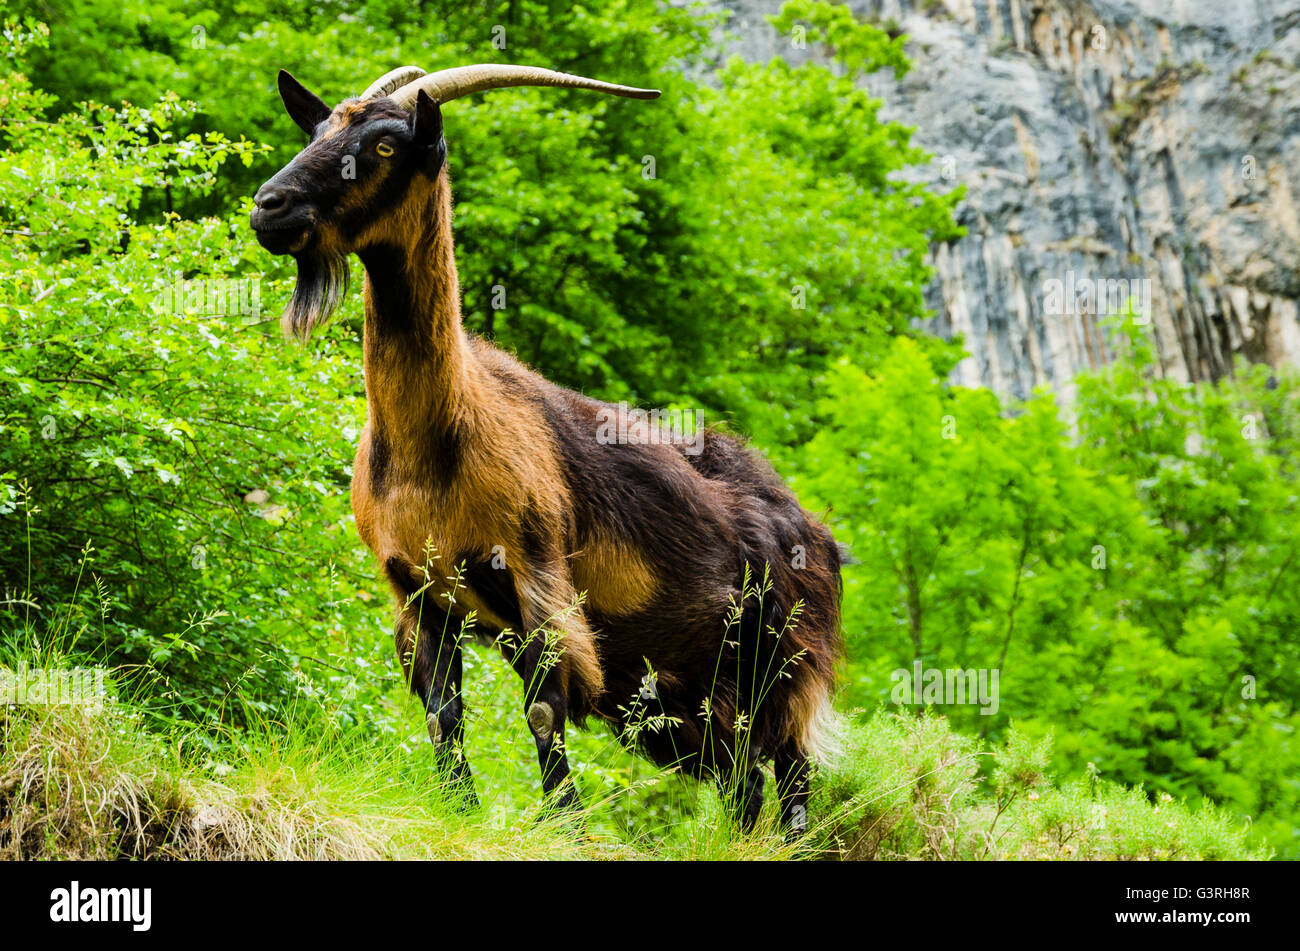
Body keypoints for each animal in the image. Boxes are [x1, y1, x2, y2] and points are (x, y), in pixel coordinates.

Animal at [252, 64, 842, 831]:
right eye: (318, 131)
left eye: (383, 146)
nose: (269, 207)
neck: (432, 447)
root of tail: (813, 527)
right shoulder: (418, 591)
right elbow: (443, 713)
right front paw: (460, 809)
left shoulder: (538, 575)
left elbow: (541, 710)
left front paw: (565, 822)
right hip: (691, 690)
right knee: (744, 774)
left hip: (784, 656)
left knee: (791, 767)